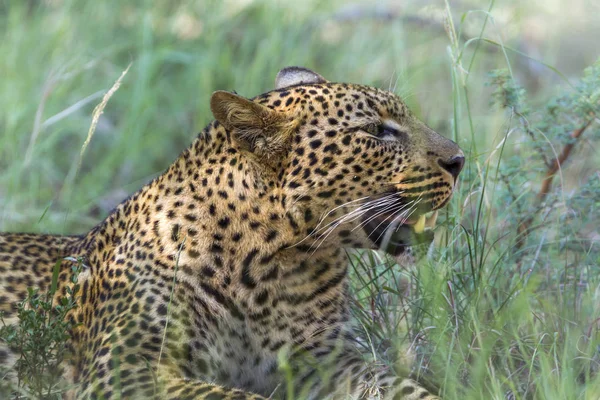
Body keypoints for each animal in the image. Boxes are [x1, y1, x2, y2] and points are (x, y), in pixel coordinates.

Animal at [0, 67, 464, 398]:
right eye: (376, 131)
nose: (459, 160)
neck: (276, 263)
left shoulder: (328, 362)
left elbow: (404, 388)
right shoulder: (126, 369)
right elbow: (231, 396)